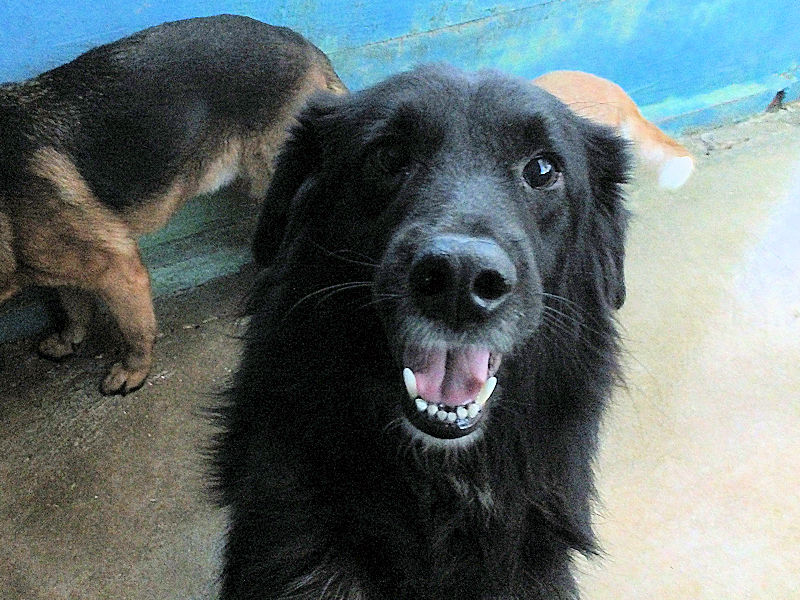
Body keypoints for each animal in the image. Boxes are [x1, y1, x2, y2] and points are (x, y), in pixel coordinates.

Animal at [0, 14, 345, 394]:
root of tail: (308, 48)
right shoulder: (65, 260)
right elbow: (73, 305)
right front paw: (68, 339)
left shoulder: (118, 266)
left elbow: (135, 327)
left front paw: (133, 370)